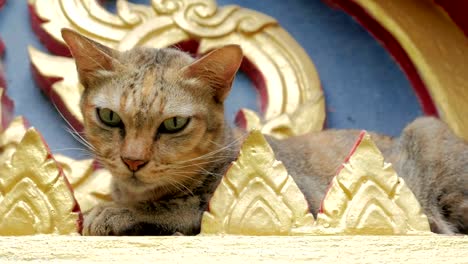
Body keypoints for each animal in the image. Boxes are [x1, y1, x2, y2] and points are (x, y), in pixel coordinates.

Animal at [60, 28, 466, 235]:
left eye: (174, 124)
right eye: (110, 117)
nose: (133, 161)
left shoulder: (307, 205)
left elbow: (185, 208)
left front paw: (111, 213)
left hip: (427, 134)